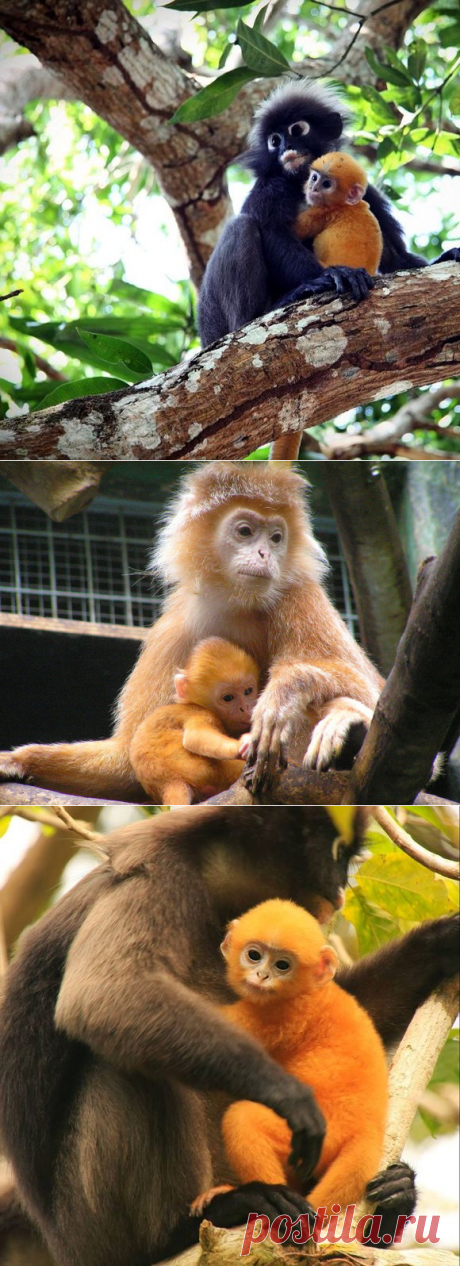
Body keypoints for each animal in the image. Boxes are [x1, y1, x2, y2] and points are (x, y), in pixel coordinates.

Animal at [129, 638, 259, 805]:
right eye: (228, 698)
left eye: (248, 691)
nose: (245, 708)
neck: (195, 704)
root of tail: (171, 782)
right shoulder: (202, 713)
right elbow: (194, 737)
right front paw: (243, 744)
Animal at [192, 896, 387, 1220]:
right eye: (254, 955)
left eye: (282, 965)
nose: (262, 975)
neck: (309, 990)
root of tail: (369, 1131)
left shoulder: (278, 1016)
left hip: (319, 1136)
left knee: (242, 1119)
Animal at [197, 81, 460, 349]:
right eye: (274, 140)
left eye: (296, 130)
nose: (285, 147)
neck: (298, 182)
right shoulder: (268, 188)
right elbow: (273, 233)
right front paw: (333, 274)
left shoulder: (367, 194)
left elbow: (394, 256)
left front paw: (445, 256)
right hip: (215, 321)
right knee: (241, 226)